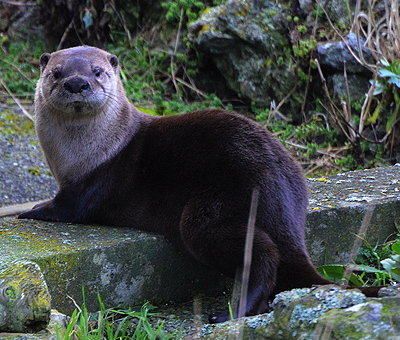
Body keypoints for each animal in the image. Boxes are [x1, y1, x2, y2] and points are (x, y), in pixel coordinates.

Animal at [19, 46, 382, 322]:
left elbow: (69, 207)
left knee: (261, 252)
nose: (77, 83)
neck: (88, 153)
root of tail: (281, 188)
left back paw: (232, 312)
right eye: (56, 73)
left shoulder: (95, 181)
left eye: (97, 71)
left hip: (209, 213)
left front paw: (31, 210)